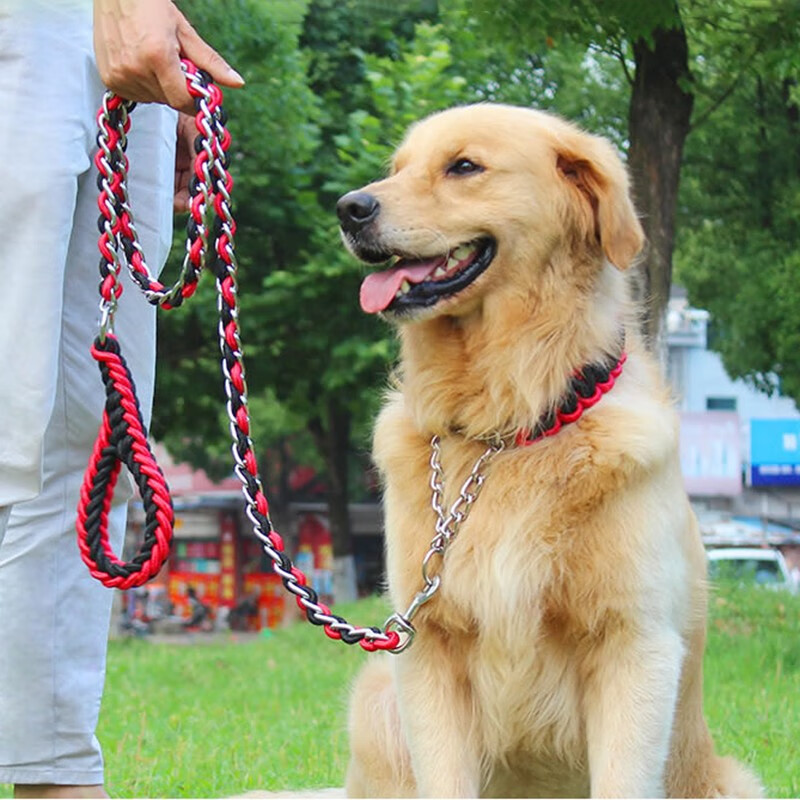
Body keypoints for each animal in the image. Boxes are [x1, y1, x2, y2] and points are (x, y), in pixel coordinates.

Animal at [332, 103, 764, 796]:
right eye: (396, 168)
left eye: (463, 166)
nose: (349, 208)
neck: (507, 425)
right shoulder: (427, 648)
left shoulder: (634, 644)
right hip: (377, 701)